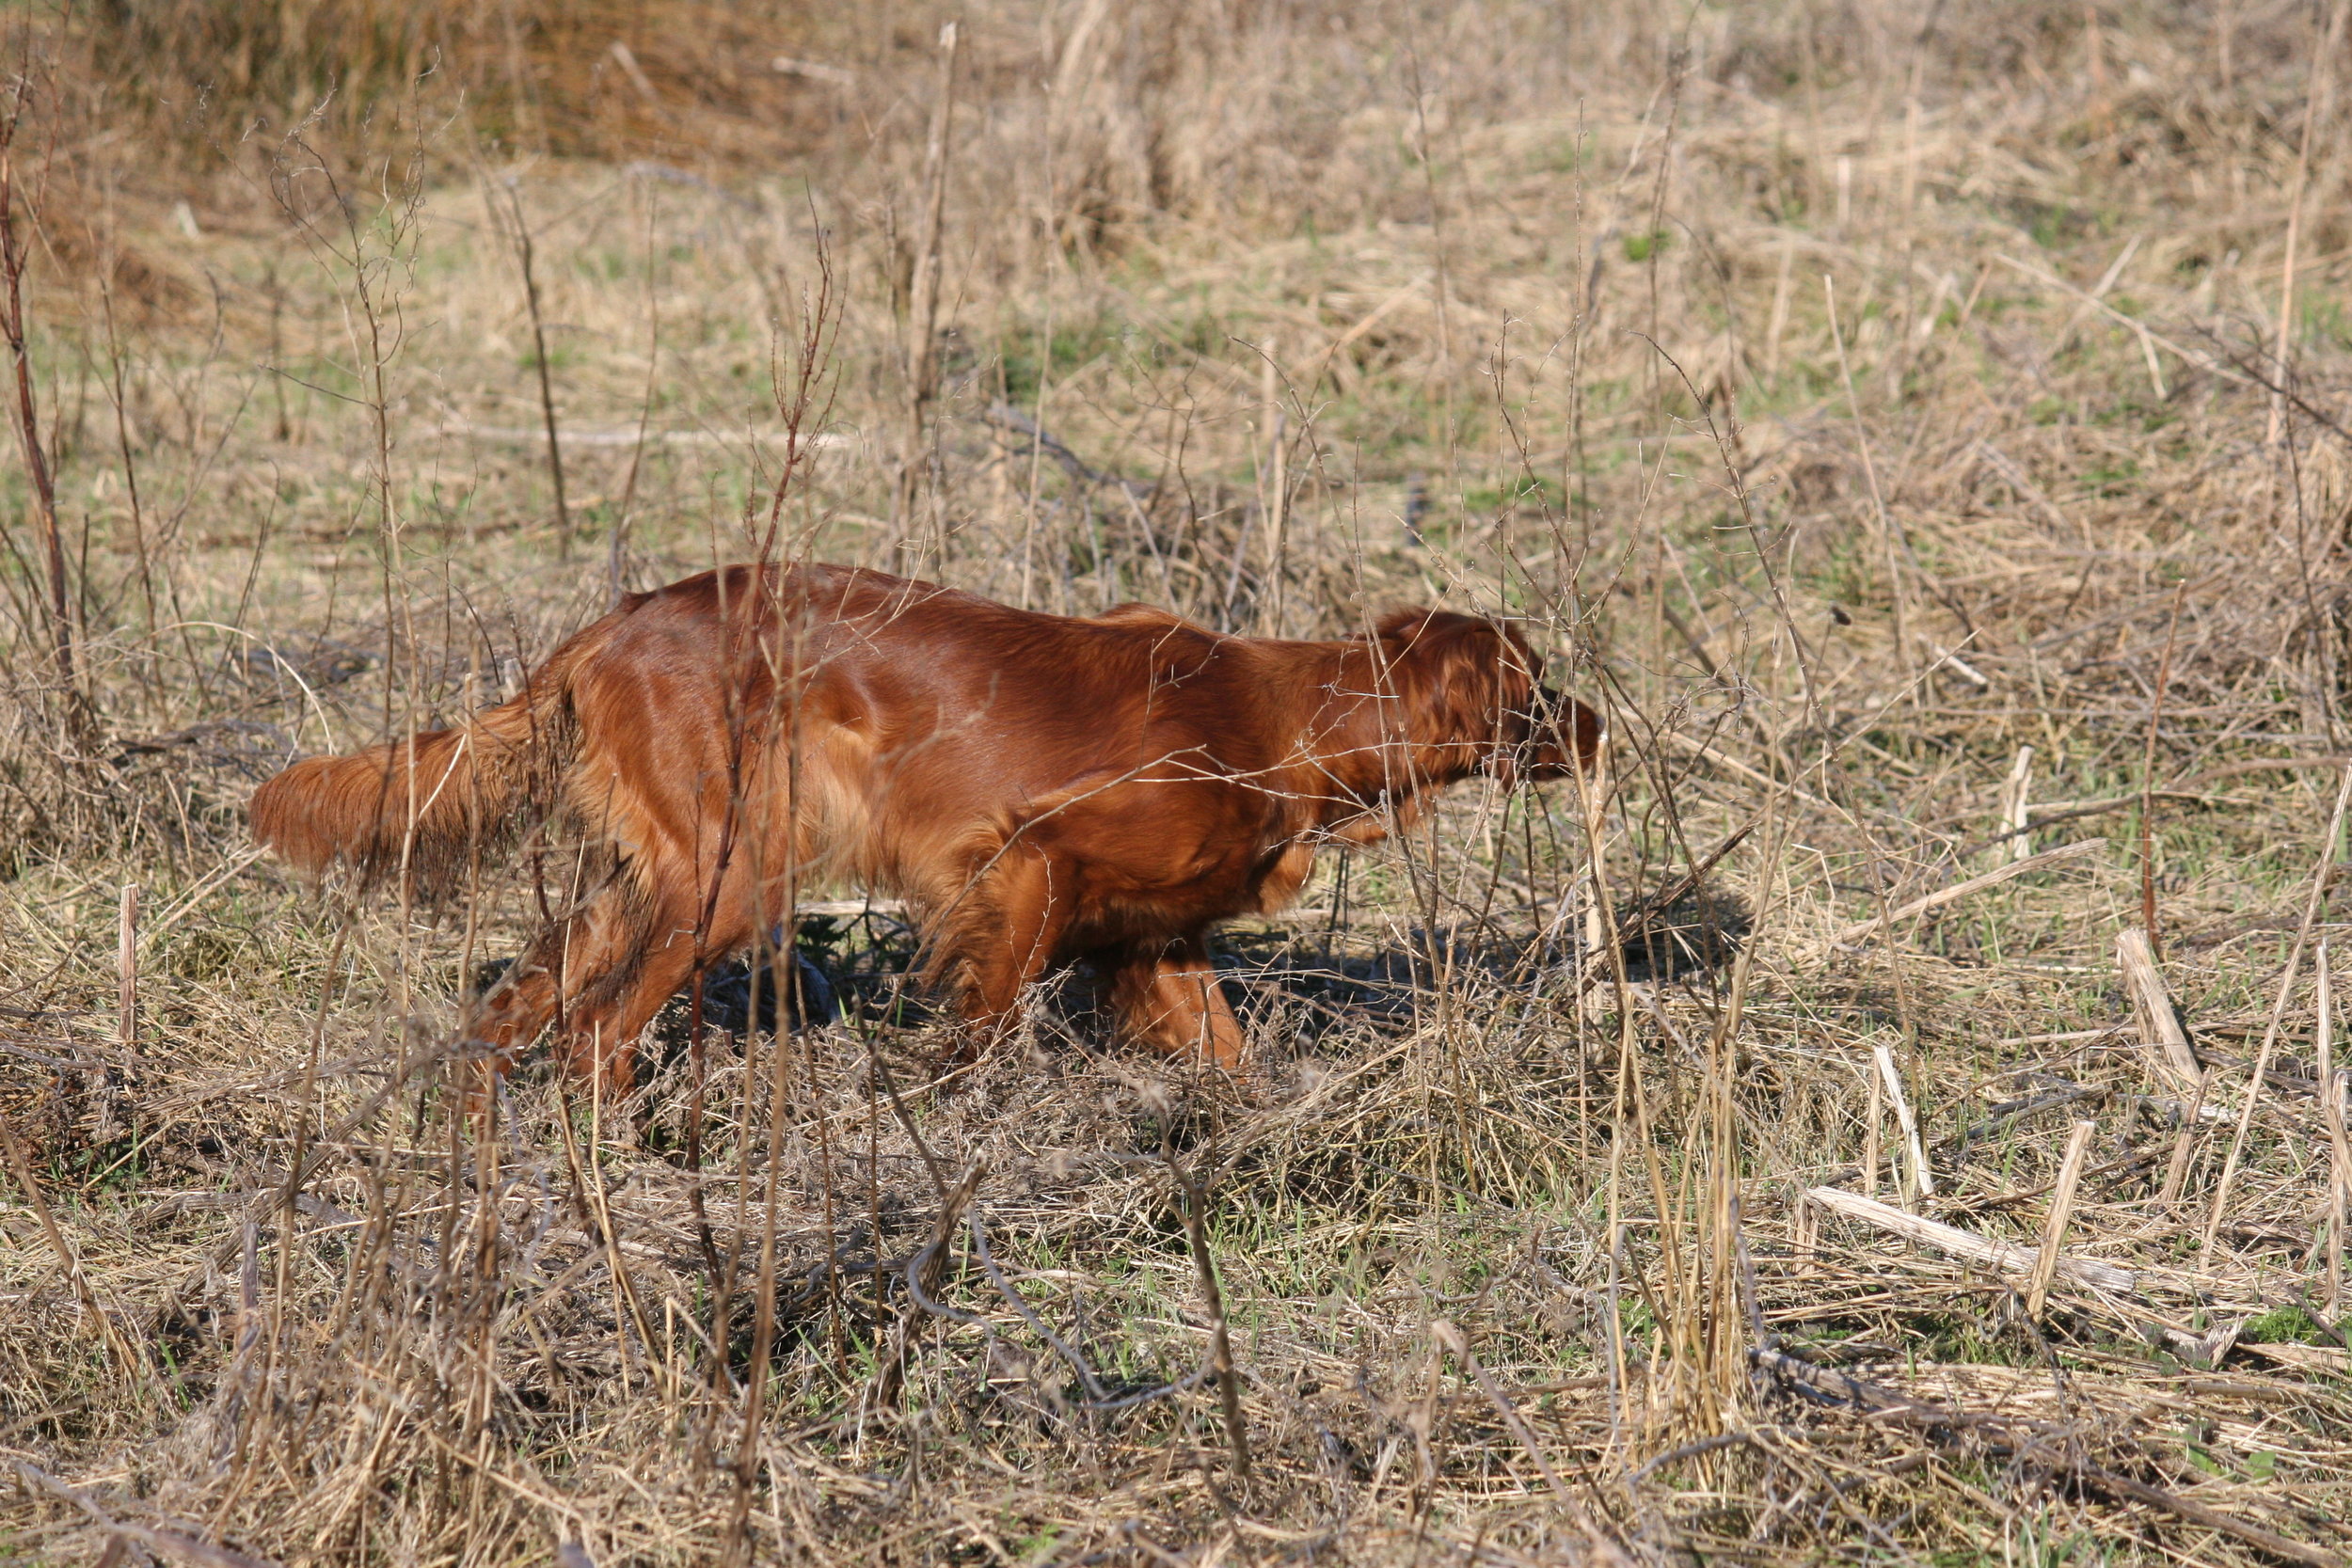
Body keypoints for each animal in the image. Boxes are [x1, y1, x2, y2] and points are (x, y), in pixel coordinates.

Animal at [247, 563, 1609, 1090]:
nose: (1601, 724)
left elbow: (1225, 1051)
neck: (1281, 718)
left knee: (520, 1003)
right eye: (1536, 685)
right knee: (593, 1035)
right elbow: (984, 1021)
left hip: (654, 877)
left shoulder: (1152, 940)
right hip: (733, 876)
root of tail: (609, 625)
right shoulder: (1027, 862)